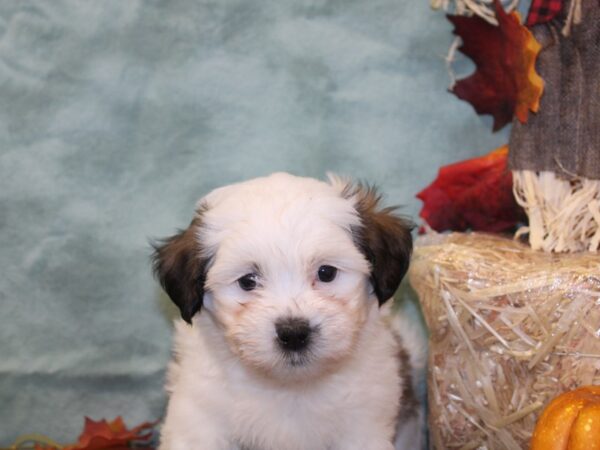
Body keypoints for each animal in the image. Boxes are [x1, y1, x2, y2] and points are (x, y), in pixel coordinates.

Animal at [152, 173, 424, 450]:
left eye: (327, 273)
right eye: (247, 281)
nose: (293, 333)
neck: (289, 385)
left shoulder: (364, 424)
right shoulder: (198, 418)